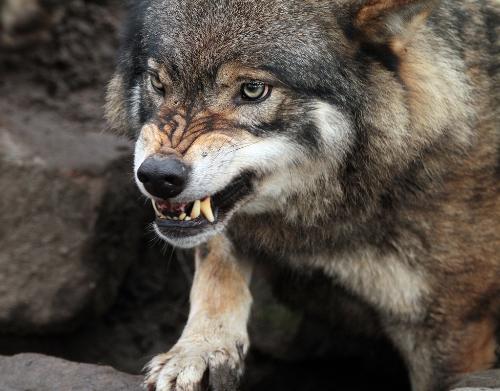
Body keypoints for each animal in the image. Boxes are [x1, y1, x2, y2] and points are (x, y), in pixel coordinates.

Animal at [104, 0, 496, 390]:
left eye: (253, 90)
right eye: (158, 82)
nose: (158, 176)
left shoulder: (455, 328)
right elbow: (216, 263)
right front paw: (199, 351)